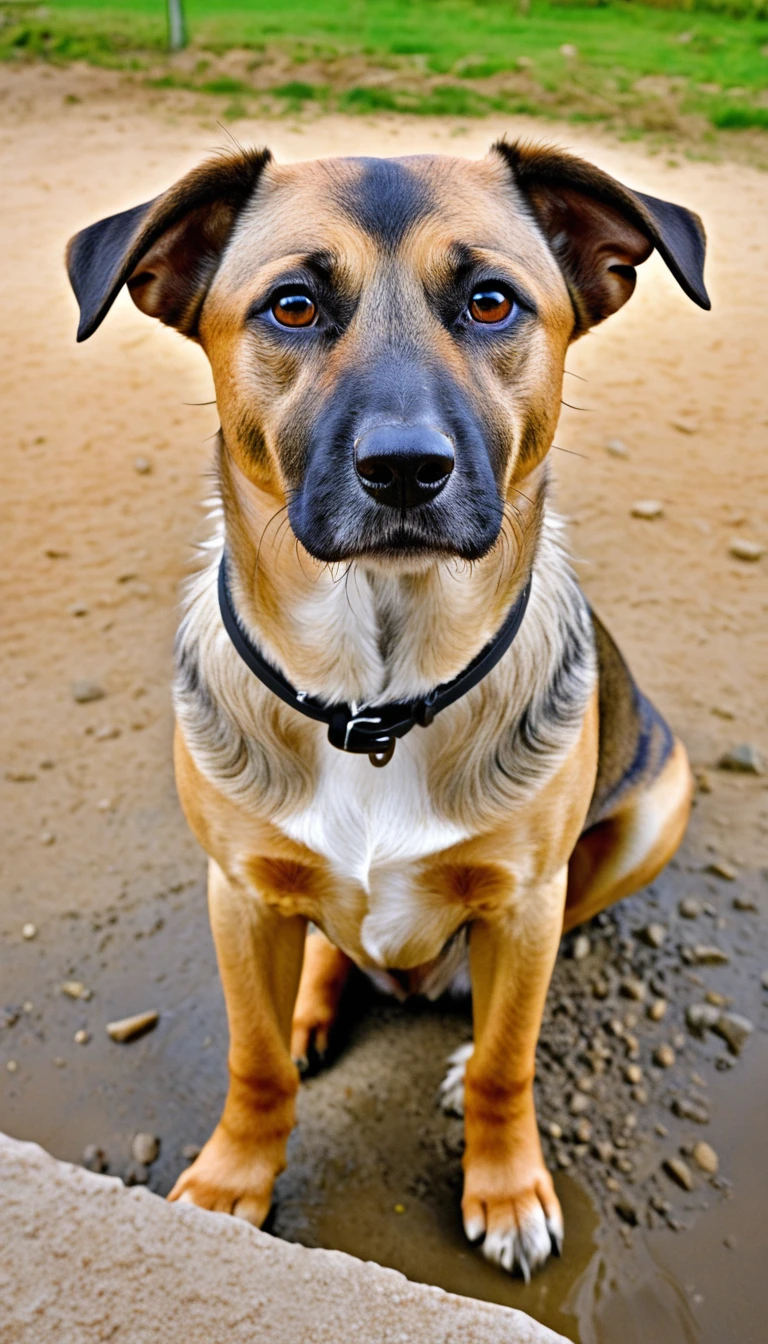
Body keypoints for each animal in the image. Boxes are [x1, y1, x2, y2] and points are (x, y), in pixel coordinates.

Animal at [66, 139, 710, 1279]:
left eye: (493, 301)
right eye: (291, 306)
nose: (406, 470)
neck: (375, 703)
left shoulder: (527, 902)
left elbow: (507, 1061)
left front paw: (505, 1187)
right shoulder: (236, 893)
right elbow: (254, 1061)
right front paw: (233, 1179)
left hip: (655, 807)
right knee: (328, 946)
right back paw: (317, 1002)